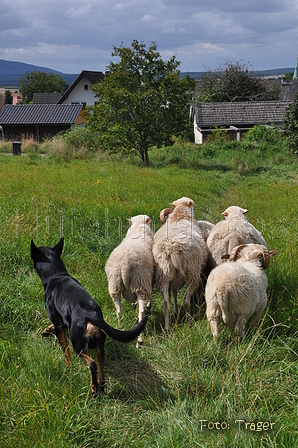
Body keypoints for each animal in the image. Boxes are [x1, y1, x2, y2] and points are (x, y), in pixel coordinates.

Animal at [31, 240, 148, 398]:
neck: (56, 275)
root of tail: (92, 315)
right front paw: (47, 330)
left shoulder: (59, 326)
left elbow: (66, 353)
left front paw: (69, 371)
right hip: (99, 347)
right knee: (101, 371)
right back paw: (99, 387)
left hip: (78, 344)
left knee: (92, 364)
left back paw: (93, 388)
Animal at [105, 215, 154, 348]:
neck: (138, 228)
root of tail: (125, 264)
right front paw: (148, 306)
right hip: (141, 284)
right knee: (141, 313)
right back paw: (140, 341)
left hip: (114, 285)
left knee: (119, 311)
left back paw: (120, 328)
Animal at [154, 196, 207, 328]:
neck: (180, 215)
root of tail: (174, 250)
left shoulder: (173, 281)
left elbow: (174, 294)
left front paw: (176, 311)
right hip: (192, 273)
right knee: (187, 302)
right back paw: (189, 322)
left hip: (164, 274)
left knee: (166, 303)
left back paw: (167, 327)